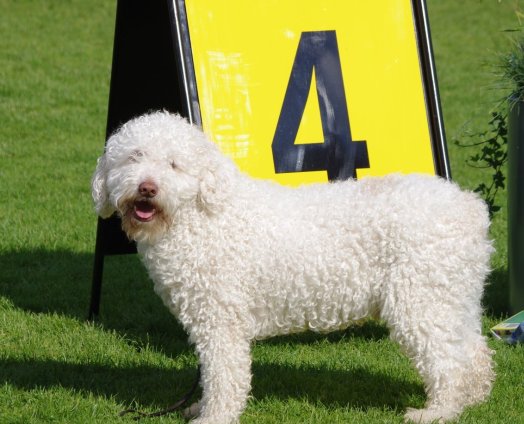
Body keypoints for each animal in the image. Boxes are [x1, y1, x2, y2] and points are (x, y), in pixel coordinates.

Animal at [92, 111, 494, 423]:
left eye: (174, 164)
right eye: (133, 158)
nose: (147, 188)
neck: (197, 217)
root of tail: (469, 208)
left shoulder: (221, 321)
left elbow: (223, 375)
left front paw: (214, 416)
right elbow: (212, 374)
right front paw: (200, 407)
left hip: (419, 301)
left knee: (448, 362)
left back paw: (438, 411)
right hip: (453, 297)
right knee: (473, 352)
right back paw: (472, 399)